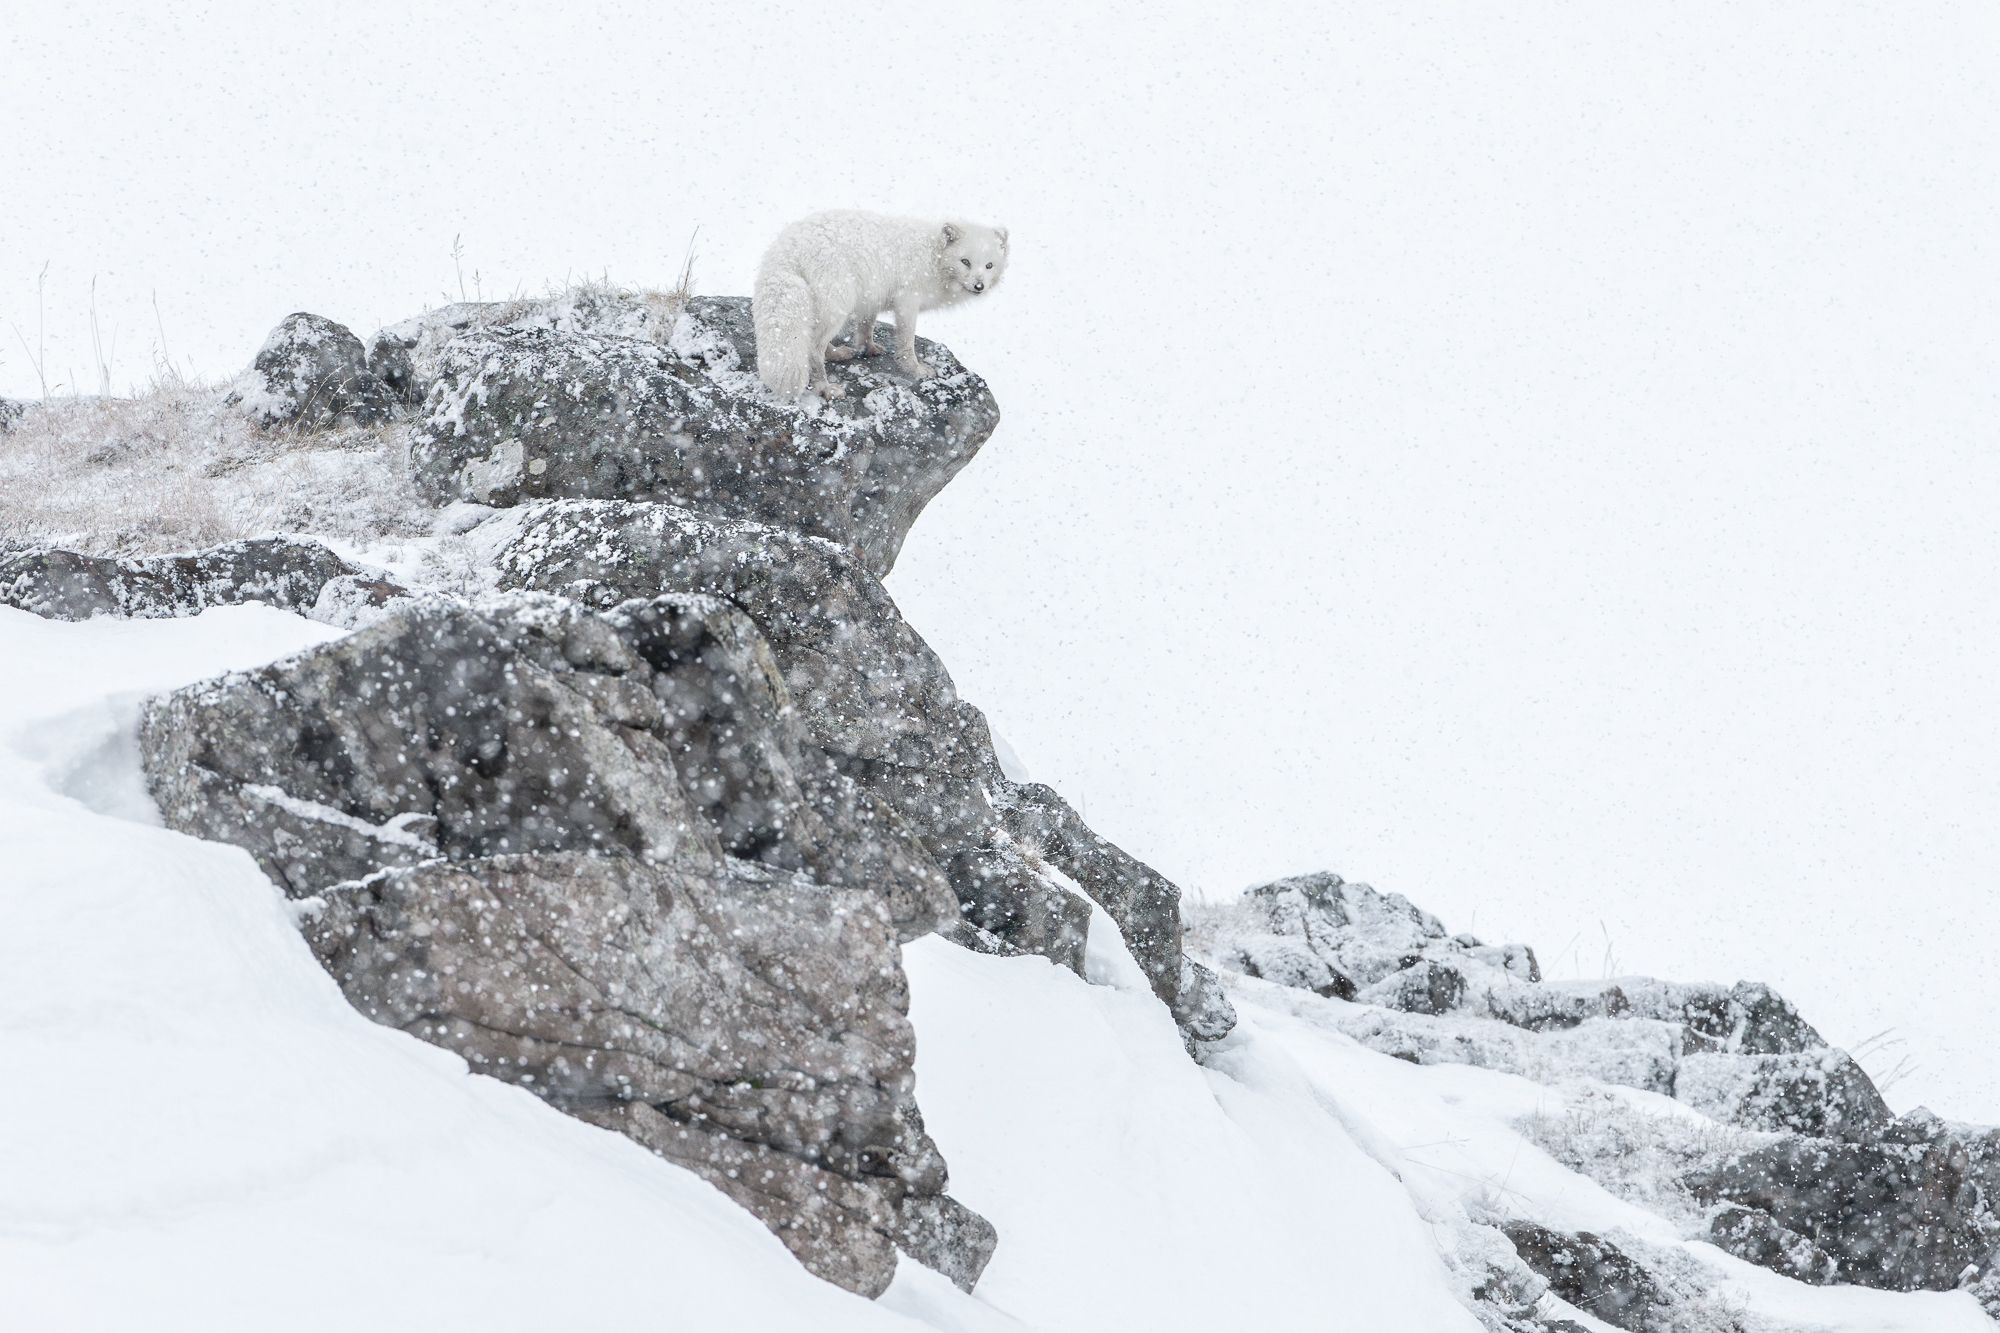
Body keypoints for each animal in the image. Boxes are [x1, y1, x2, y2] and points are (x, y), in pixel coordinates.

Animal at [753, 210, 1009, 399]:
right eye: (965, 262)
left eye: (989, 265)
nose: (979, 286)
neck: (933, 256)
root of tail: (785, 250)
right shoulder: (907, 300)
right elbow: (906, 342)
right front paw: (915, 369)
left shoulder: (870, 298)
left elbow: (866, 327)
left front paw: (868, 349)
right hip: (838, 303)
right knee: (813, 348)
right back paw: (825, 387)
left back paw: (837, 353)